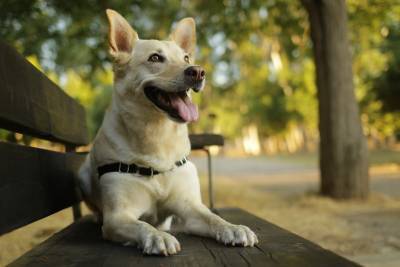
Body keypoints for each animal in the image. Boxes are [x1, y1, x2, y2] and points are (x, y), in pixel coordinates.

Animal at [77, 9, 260, 256]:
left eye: (186, 58)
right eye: (155, 58)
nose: (198, 72)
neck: (158, 138)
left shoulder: (191, 209)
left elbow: (213, 218)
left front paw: (233, 228)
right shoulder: (118, 217)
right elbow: (142, 225)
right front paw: (157, 237)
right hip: (83, 174)